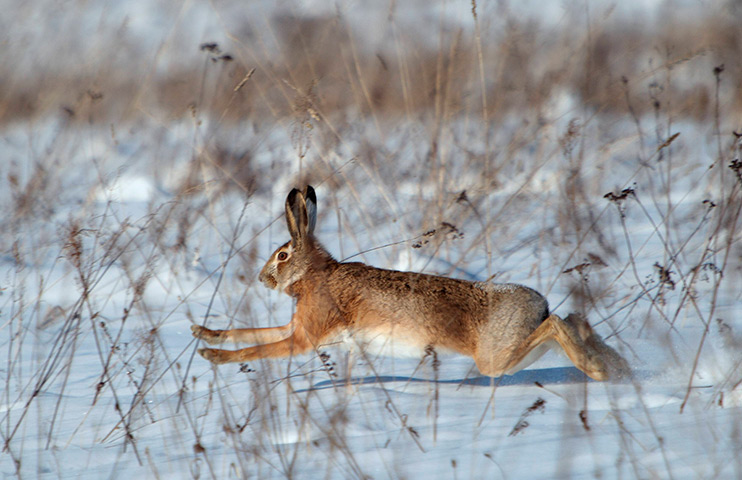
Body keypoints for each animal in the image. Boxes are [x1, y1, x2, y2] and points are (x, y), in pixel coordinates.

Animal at [192, 185, 630, 381]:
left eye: (282, 256)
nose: (263, 278)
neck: (315, 275)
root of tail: (539, 304)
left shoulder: (304, 337)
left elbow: (260, 347)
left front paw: (212, 357)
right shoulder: (297, 326)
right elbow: (253, 332)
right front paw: (203, 332)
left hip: (494, 356)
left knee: (557, 325)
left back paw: (597, 370)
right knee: (574, 319)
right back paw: (616, 368)